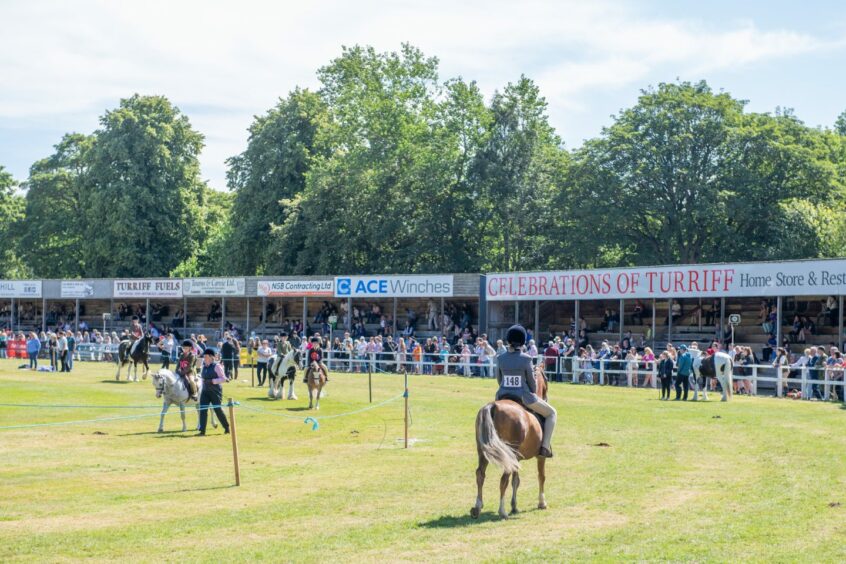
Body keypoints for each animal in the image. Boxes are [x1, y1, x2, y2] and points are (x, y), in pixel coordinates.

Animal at [470, 366, 548, 520]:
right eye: (547, 381)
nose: (546, 397)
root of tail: (492, 406)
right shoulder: (540, 456)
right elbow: (541, 476)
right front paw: (542, 503)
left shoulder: (516, 458)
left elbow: (516, 481)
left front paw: (514, 506)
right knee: (503, 479)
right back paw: (502, 511)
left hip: (483, 451)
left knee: (480, 474)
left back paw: (477, 507)